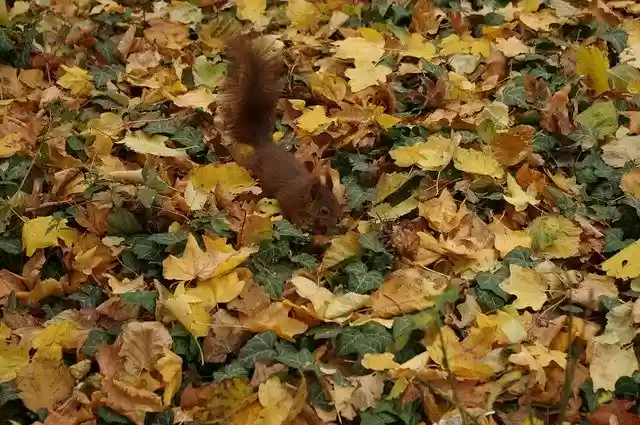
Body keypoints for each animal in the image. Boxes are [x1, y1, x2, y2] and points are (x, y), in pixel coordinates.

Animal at [220, 38, 341, 234]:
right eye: (324, 210)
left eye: (336, 200)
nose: (339, 220)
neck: (305, 193)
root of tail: (264, 145)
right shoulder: (288, 198)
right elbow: (290, 212)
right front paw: (300, 226)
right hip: (253, 170)